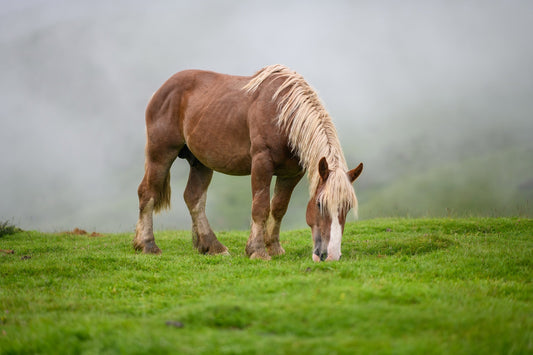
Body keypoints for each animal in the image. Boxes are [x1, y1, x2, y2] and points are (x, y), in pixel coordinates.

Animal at [135, 64, 364, 262]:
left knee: (194, 198)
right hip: (161, 153)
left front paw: (274, 247)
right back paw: (147, 245)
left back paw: (212, 246)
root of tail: (162, 89)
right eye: (319, 204)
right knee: (147, 192)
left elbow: (279, 207)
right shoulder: (262, 163)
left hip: (201, 162)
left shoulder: (291, 174)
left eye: (347, 207)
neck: (282, 114)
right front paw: (257, 251)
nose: (330, 255)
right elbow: (260, 207)